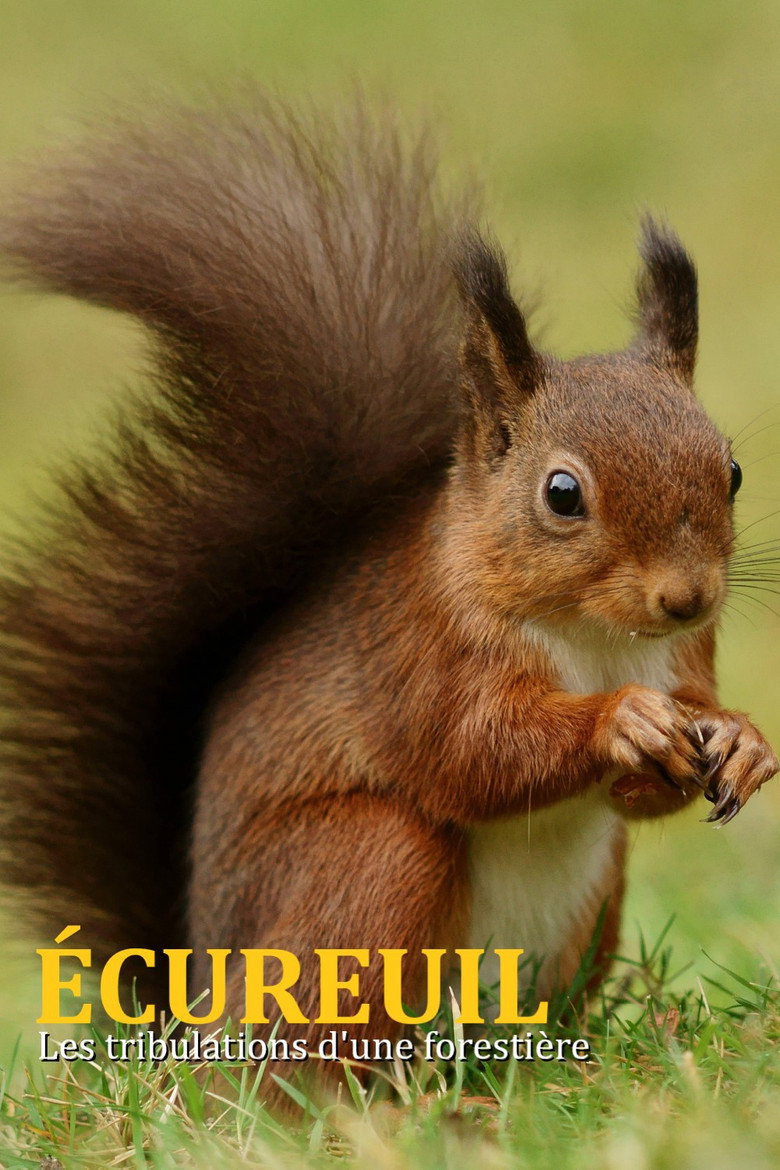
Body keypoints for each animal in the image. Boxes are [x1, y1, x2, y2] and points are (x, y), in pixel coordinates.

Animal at [0, 96, 777, 1088]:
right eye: (563, 494)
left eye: (733, 471)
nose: (687, 598)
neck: (594, 636)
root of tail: (194, 998)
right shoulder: (419, 650)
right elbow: (472, 752)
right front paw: (622, 721)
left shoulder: (687, 658)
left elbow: (651, 784)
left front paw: (744, 741)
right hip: (365, 867)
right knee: (302, 1055)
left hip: (589, 902)